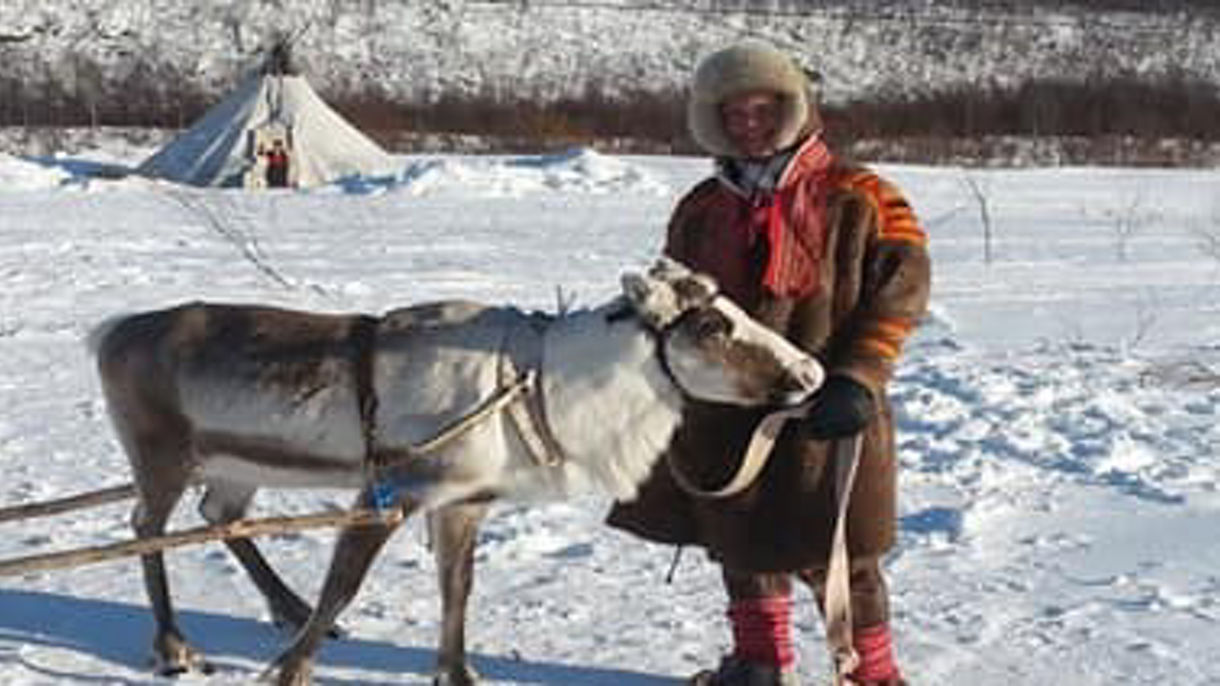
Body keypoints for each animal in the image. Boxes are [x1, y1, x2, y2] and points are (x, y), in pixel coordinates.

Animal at [92, 258, 824, 685]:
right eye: (712, 325)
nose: (810, 373)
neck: (541, 386)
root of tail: (110, 332)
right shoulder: (389, 490)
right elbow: (345, 587)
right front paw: (287, 672)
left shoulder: (463, 502)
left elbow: (457, 592)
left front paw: (458, 673)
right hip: (161, 457)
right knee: (146, 528)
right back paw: (174, 646)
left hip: (231, 468)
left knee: (220, 517)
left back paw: (285, 608)